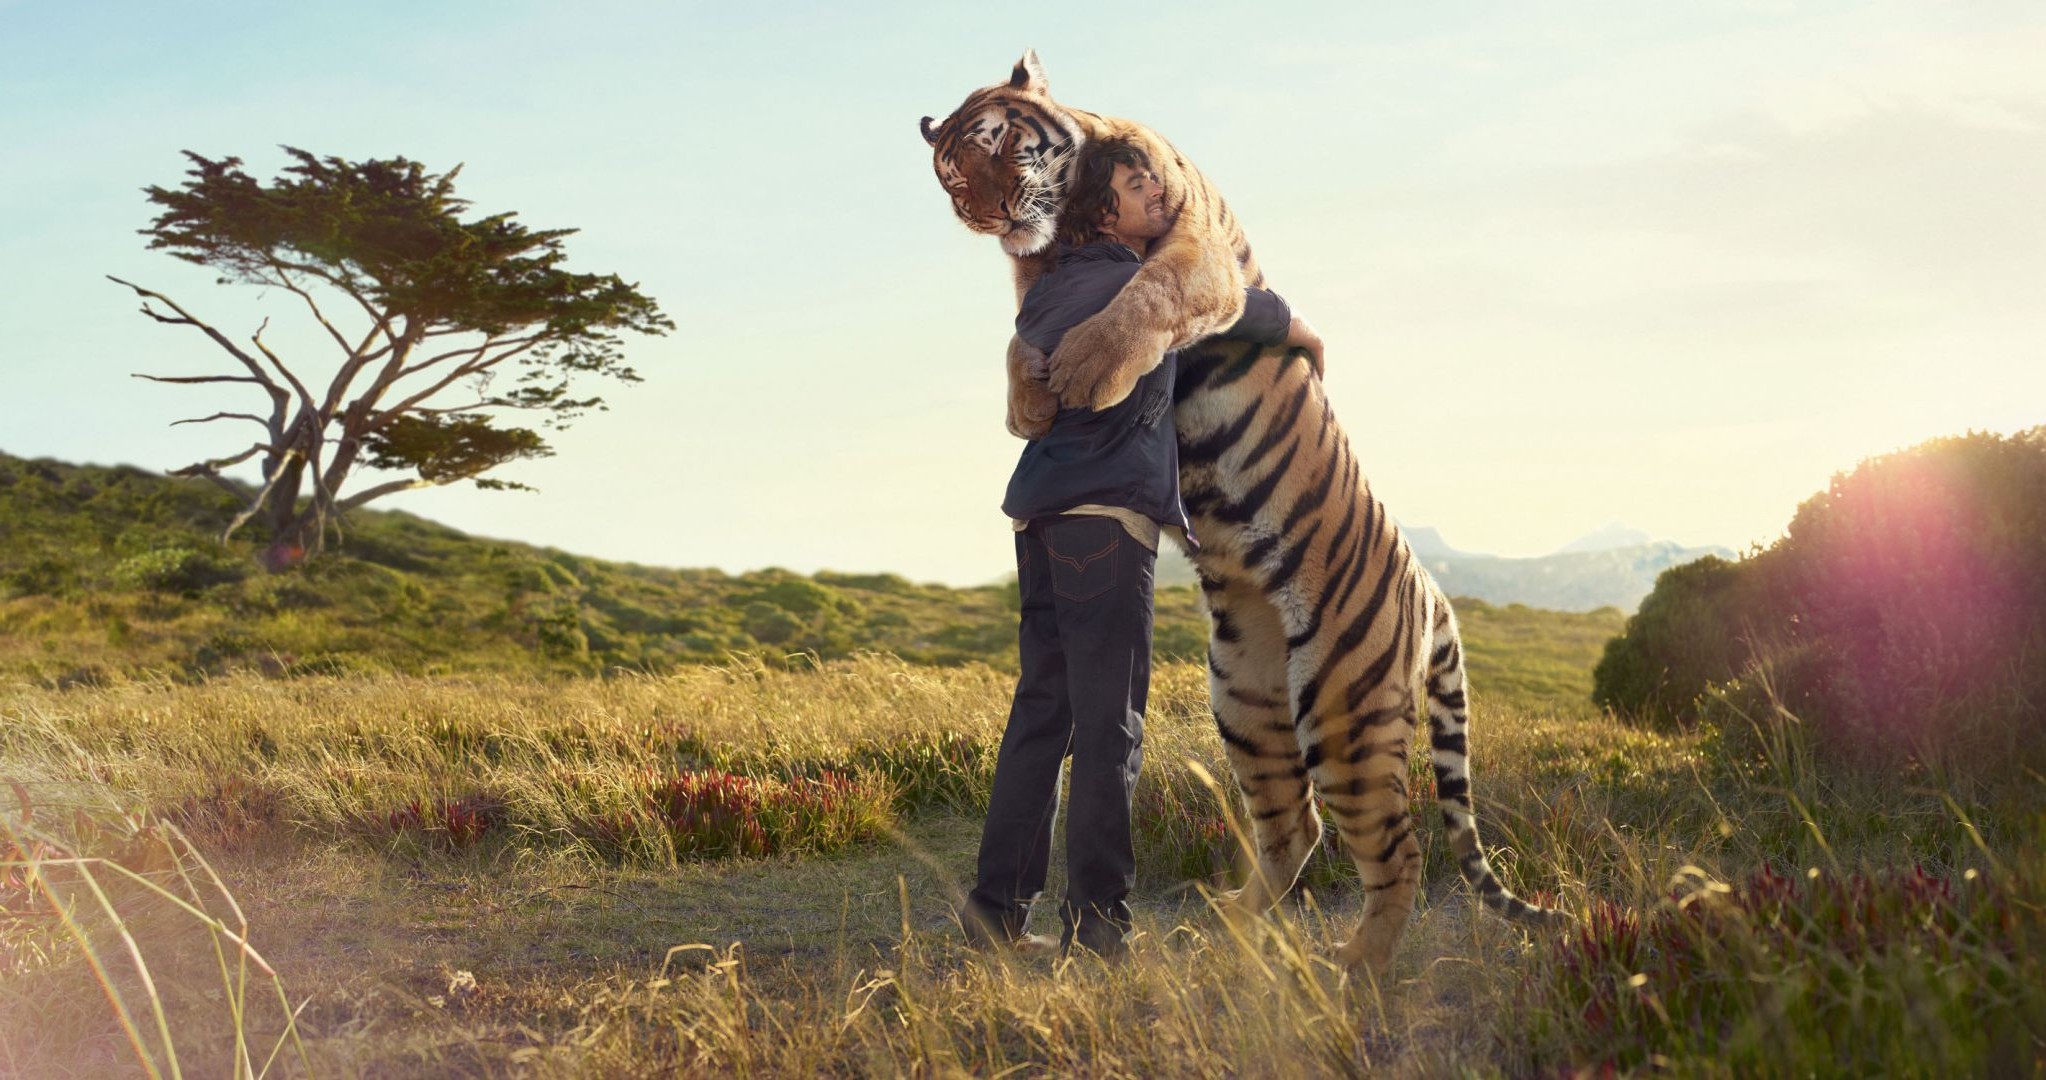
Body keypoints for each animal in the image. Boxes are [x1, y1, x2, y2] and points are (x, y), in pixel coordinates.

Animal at [920, 50, 1571, 973]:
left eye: (998, 145)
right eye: (949, 177)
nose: (987, 213)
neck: (1072, 223)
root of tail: (1432, 590)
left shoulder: (1196, 252)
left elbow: (1147, 294)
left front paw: (1084, 371)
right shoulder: (1033, 281)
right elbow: (1020, 335)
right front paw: (1030, 402)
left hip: (1342, 711)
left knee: (1397, 850)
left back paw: (1352, 970)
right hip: (1248, 701)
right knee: (1297, 827)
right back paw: (1228, 926)